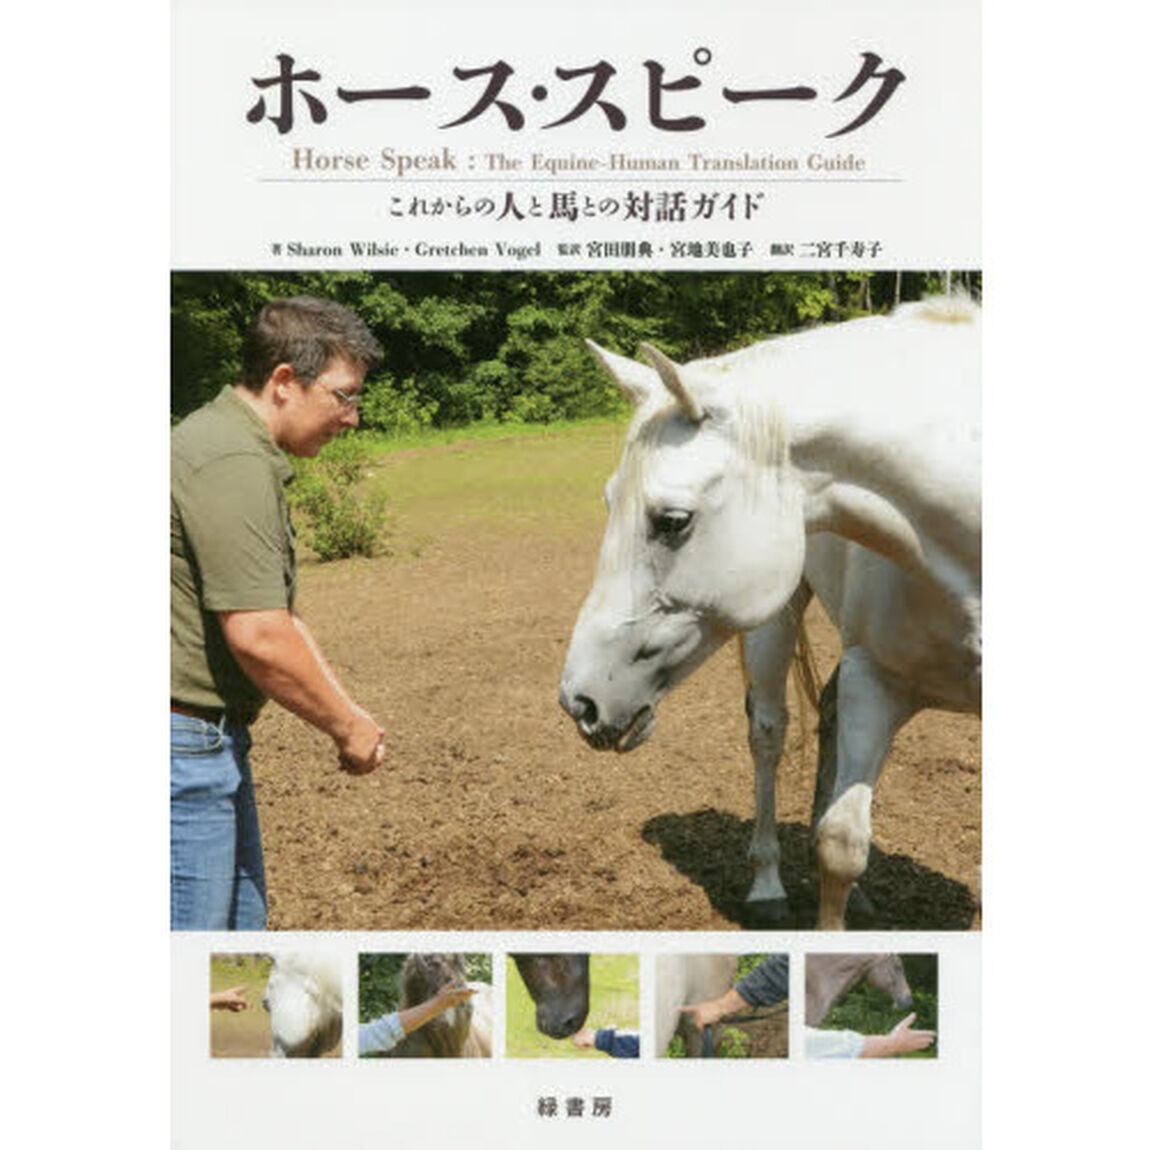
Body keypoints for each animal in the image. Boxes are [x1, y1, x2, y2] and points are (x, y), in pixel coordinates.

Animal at [560, 297, 981, 930]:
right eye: (610, 503)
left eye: (672, 520)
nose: (579, 702)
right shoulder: (876, 679)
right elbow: (840, 845)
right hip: (775, 625)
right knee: (769, 733)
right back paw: (768, 886)